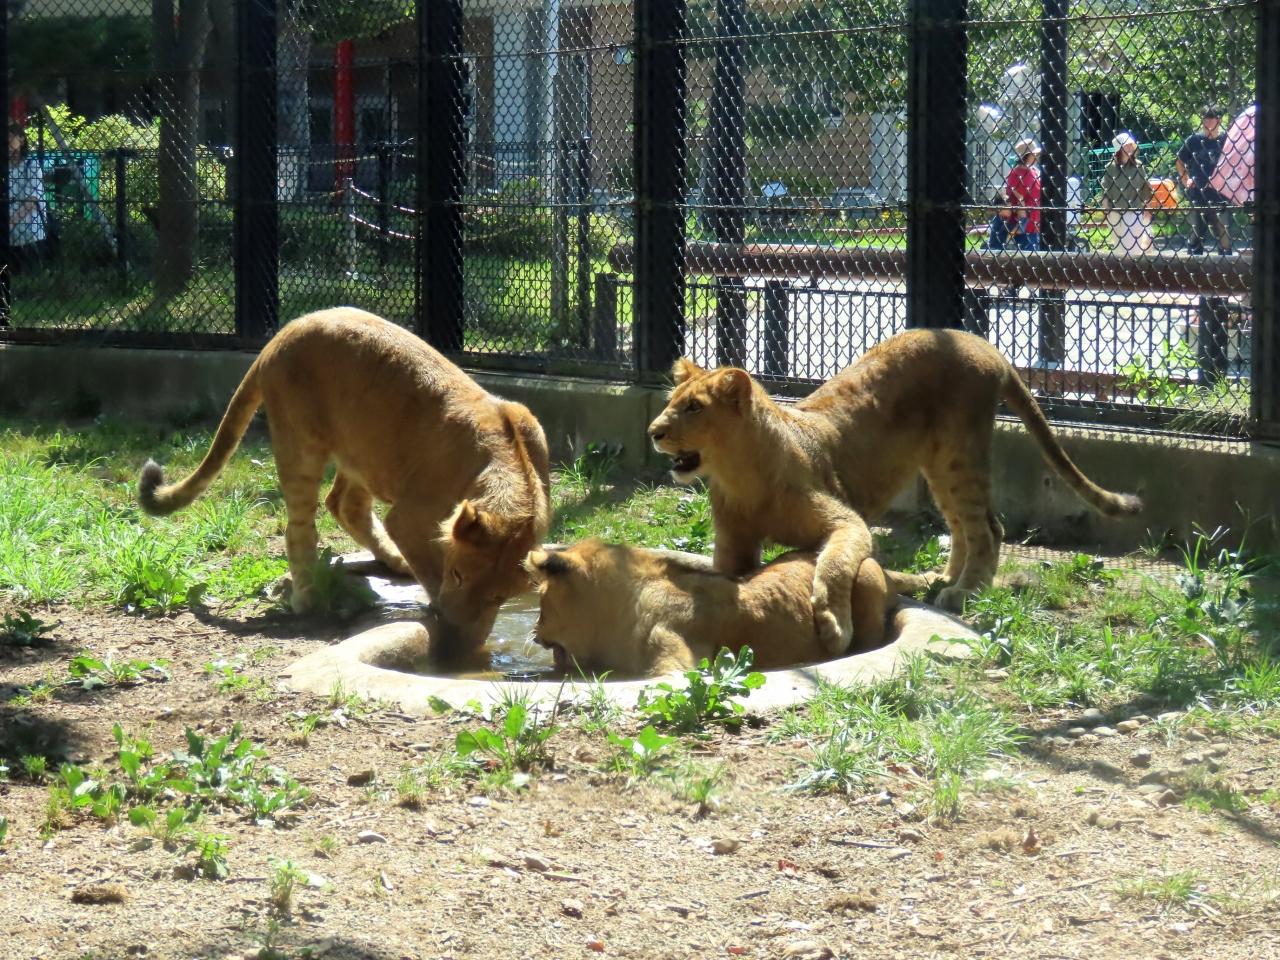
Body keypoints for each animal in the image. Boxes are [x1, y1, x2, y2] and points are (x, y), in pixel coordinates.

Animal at [138, 307, 550, 647]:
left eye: (498, 597)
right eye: (458, 574)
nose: (453, 631)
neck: (509, 466)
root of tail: (282, 333)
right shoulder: (409, 517)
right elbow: (429, 569)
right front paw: (451, 625)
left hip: (366, 449)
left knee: (344, 504)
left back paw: (394, 560)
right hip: (300, 442)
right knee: (300, 526)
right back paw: (307, 598)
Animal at [647, 328, 1142, 640]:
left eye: (694, 408)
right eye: (672, 402)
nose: (653, 431)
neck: (739, 474)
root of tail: (982, 344)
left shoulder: (847, 522)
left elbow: (835, 564)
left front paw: (833, 623)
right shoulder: (734, 548)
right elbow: (729, 577)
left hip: (958, 455)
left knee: (988, 528)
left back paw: (965, 592)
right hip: (939, 465)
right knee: (962, 526)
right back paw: (942, 577)